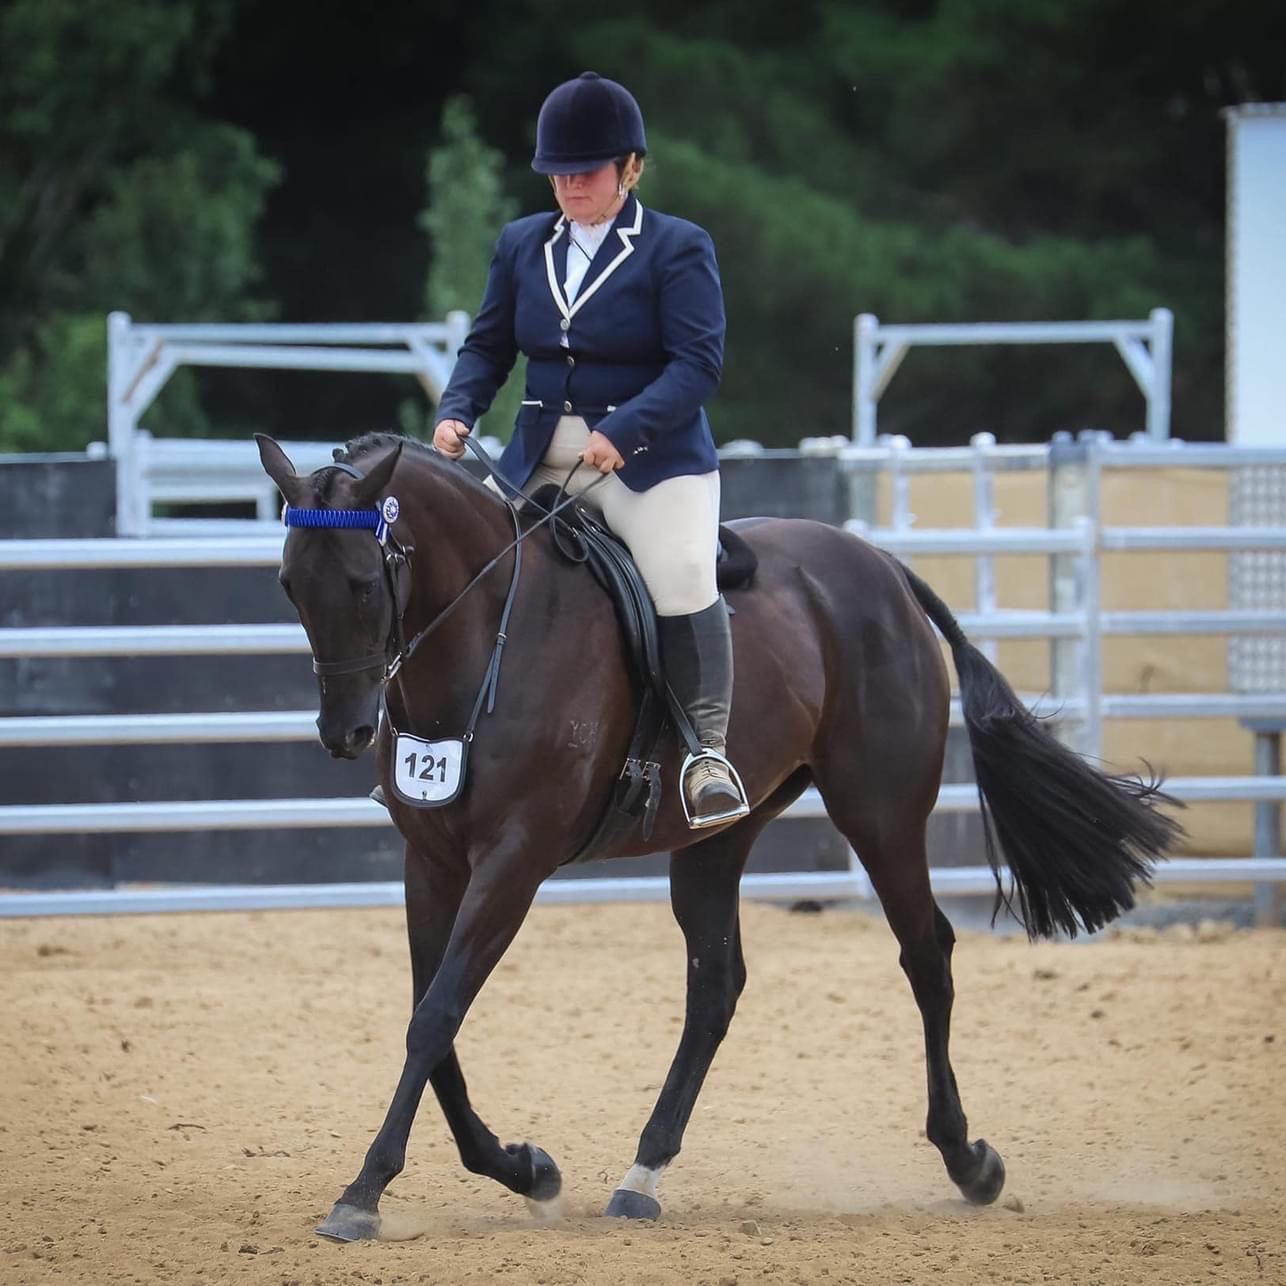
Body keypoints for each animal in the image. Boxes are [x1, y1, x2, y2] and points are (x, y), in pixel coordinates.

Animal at [255, 430, 1180, 1241]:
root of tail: (878, 564)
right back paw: (643, 1175)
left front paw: (364, 1192)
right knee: (716, 985)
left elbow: (438, 1013)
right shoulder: (433, 863)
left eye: (363, 584)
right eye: (290, 586)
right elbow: (431, 1025)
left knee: (927, 956)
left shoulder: (512, 864)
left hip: (880, 814)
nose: (344, 731)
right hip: (720, 835)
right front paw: (526, 1167)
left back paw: (969, 1161)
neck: (489, 638)